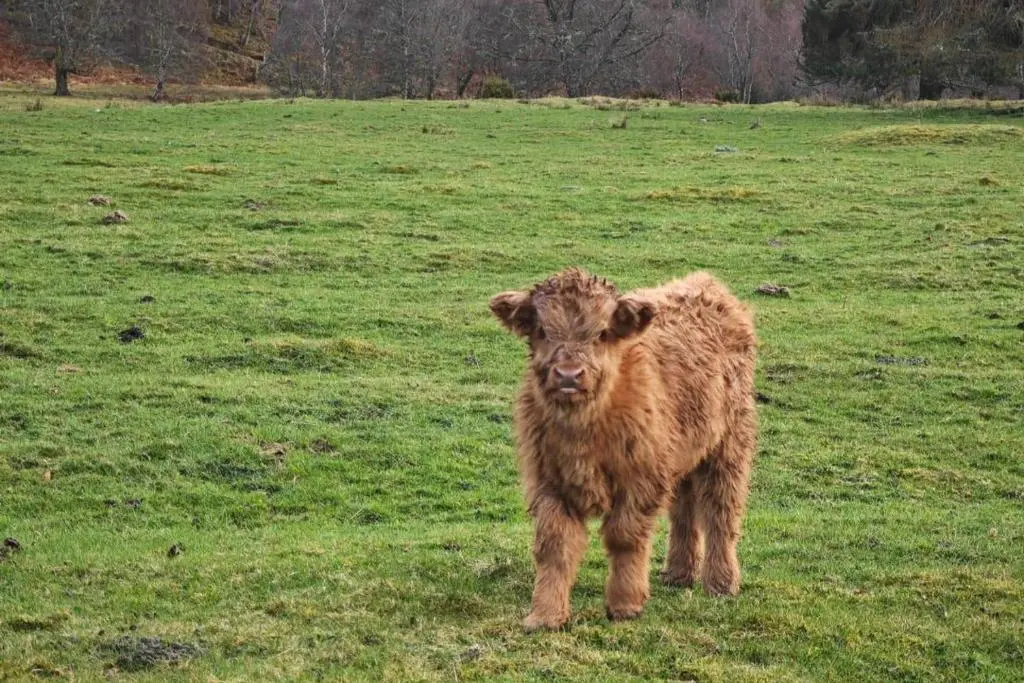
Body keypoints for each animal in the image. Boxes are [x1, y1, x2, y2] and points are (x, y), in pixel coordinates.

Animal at [489, 267, 757, 631]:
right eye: (542, 330)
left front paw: (625, 604)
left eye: (602, 333)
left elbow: (624, 537)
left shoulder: (641, 478)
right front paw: (545, 614)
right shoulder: (548, 480)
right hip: (683, 451)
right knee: (684, 509)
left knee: (721, 510)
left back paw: (721, 583)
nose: (569, 375)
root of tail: (706, 284)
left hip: (729, 443)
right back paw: (678, 573)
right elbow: (554, 546)